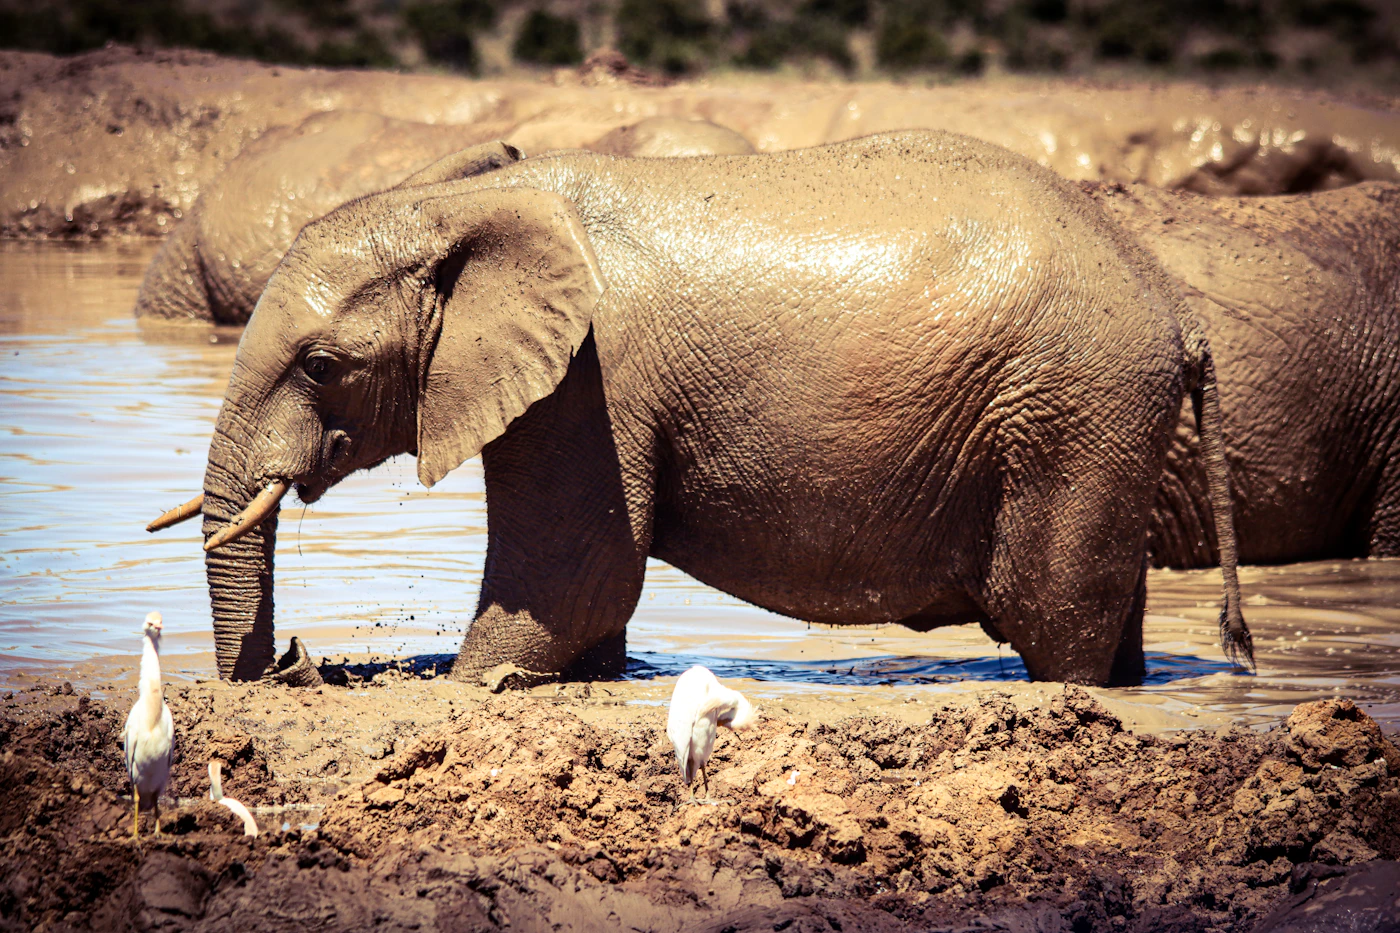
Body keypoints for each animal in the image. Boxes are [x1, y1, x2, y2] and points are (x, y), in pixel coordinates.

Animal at [155, 131, 1254, 688]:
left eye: (321, 366)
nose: (288, 664)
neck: (467, 202)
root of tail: (1175, 304)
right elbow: (586, 596)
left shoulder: (592, 381)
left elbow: (576, 571)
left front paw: (462, 689)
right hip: (1092, 417)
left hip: (1069, 409)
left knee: (1052, 615)